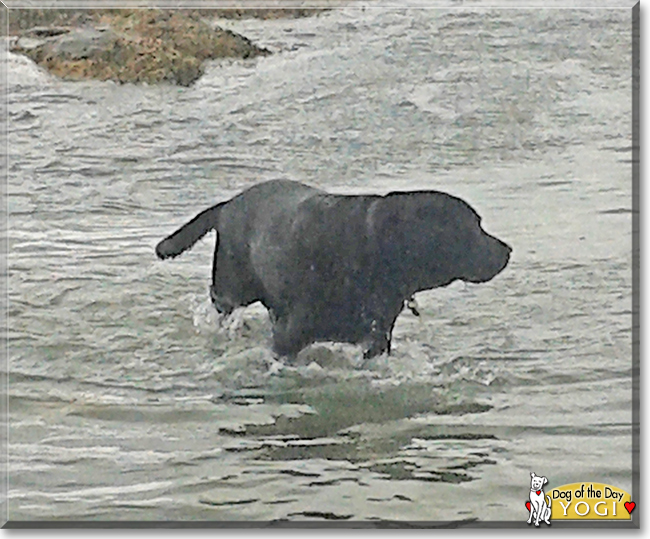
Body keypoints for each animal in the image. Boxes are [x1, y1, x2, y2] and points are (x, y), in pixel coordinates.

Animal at [154, 179, 508, 360]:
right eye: (473, 227)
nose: (507, 249)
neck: (374, 248)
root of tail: (227, 205)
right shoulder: (289, 337)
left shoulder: (377, 336)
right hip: (230, 289)